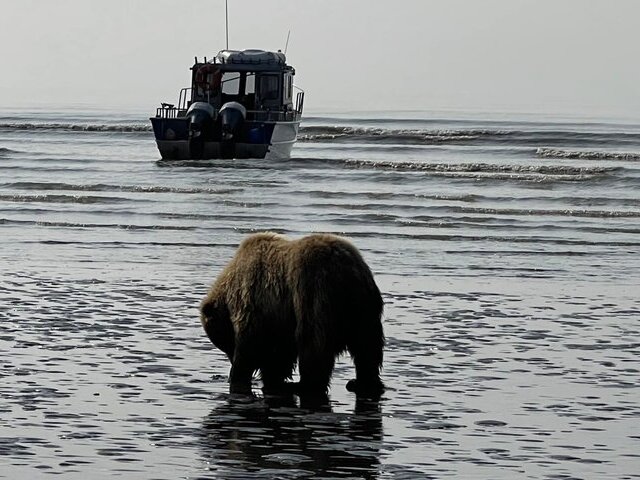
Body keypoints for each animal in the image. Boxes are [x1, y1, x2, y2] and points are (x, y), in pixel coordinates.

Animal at [200, 231, 384, 400]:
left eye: (224, 343)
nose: (230, 358)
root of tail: (350, 270)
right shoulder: (281, 316)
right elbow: (280, 351)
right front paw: (272, 376)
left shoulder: (255, 300)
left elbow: (252, 341)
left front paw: (239, 373)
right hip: (363, 309)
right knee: (367, 347)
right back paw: (362, 383)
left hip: (314, 295)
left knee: (314, 344)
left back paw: (304, 385)